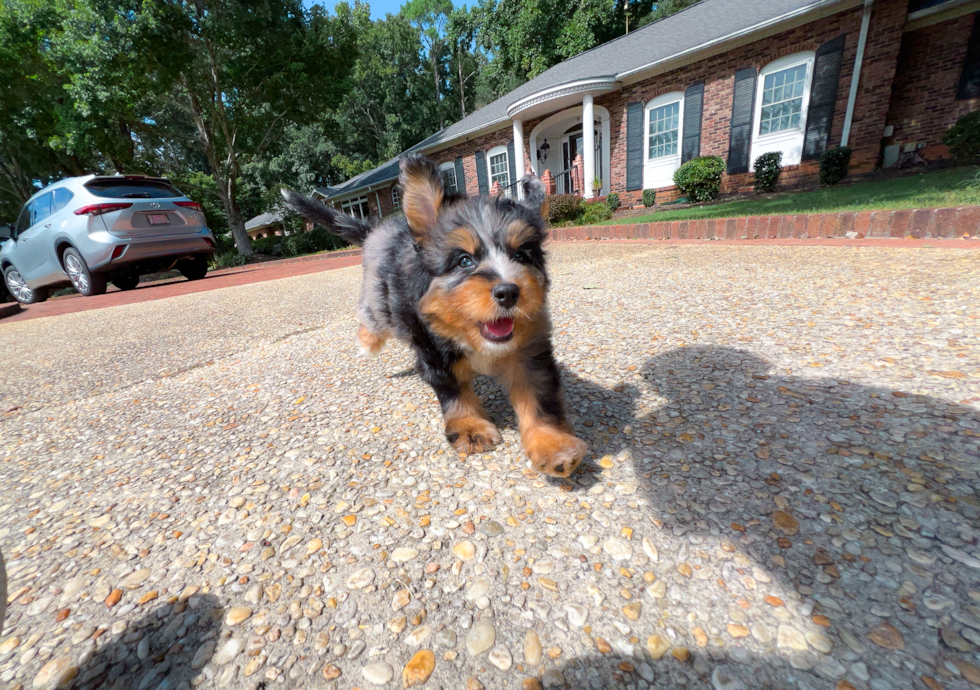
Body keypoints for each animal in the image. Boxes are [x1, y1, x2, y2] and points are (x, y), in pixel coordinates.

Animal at [284, 153, 588, 476]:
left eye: (520, 255)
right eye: (464, 260)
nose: (508, 292)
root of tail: (380, 230)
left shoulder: (529, 352)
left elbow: (537, 399)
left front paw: (552, 444)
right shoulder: (433, 350)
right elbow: (454, 393)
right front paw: (470, 427)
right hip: (380, 299)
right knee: (372, 315)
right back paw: (368, 343)